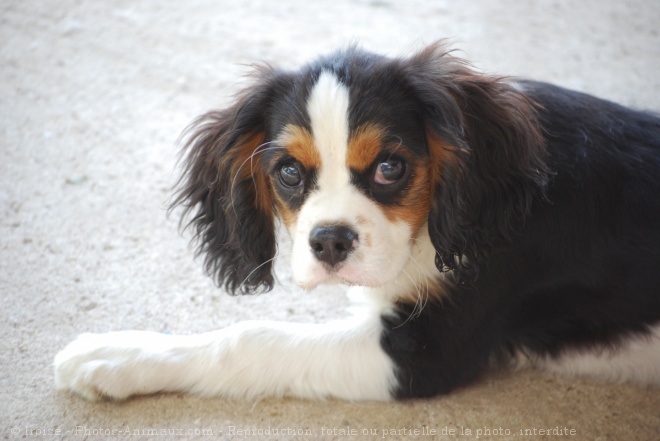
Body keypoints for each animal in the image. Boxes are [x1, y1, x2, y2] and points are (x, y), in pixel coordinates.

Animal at [55, 43, 660, 400]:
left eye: (390, 168)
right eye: (289, 172)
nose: (329, 243)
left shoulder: (426, 351)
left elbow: (255, 338)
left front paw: (113, 355)